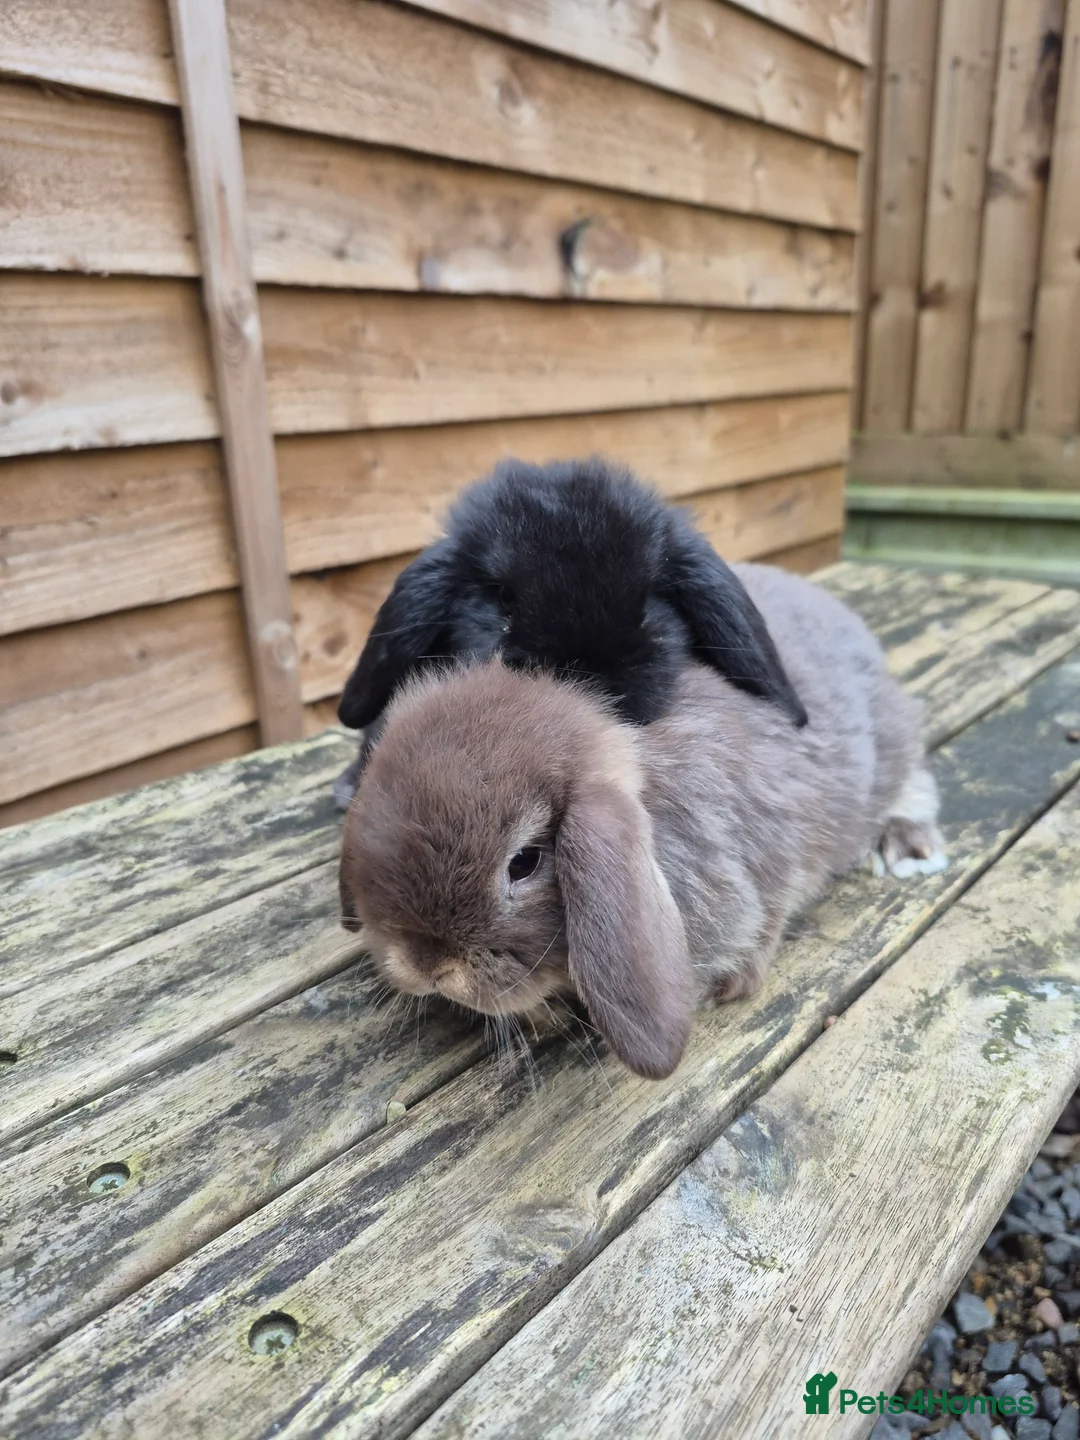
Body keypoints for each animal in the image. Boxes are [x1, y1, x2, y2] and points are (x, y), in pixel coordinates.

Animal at [338, 563, 947, 1080]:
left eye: (524, 862)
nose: (427, 966)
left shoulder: (765, 853)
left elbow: (766, 917)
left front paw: (728, 985)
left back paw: (908, 846)